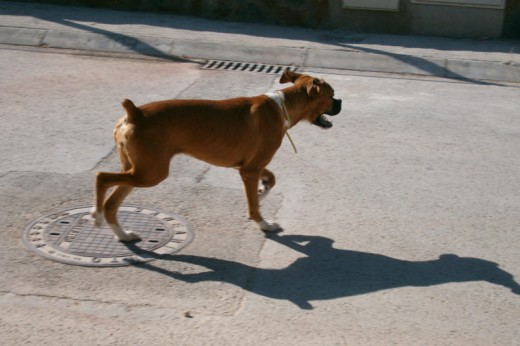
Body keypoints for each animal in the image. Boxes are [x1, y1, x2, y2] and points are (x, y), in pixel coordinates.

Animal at [90, 71, 342, 241]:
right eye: (332, 95)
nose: (340, 102)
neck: (282, 106)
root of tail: (135, 113)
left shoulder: (249, 166)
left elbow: (271, 179)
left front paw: (261, 193)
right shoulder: (250, 170)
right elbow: (253, 206)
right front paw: (263, 222)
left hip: (138, 171)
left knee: (112, 202)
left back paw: (122, 234)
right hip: (151, 173)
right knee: (102, 177)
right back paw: (96, 214)